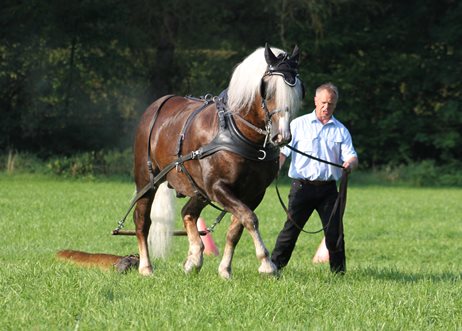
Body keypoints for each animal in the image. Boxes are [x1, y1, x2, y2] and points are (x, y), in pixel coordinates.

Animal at [132, 43, 304, 278]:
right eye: (268, 90)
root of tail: (157, 104)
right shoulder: (218, 187)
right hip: (147, 180)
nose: (282, 136)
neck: (240, 134)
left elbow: (237, 229)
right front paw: (267, 263)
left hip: (199, 189)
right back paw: (146, 267)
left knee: (188, 213)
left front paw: (224, 269)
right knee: (142, 221)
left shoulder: (253, 193)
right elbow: (250, 219)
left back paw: (194, 258)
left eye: (297, 89)